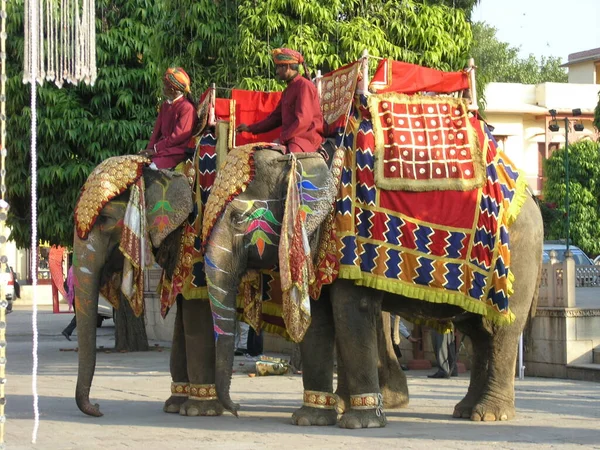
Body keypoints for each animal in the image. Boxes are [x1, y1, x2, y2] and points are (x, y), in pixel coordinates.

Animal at [205, 93, 544, 428]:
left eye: (237, 217)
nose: (236, 409)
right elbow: (320, 318)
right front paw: (310, 418)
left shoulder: (352, 234)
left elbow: (352, 311)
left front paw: (359, 422)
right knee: (477, 331)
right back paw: (465, 410)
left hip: (520, 253)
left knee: (499, 330)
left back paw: (489, 414)